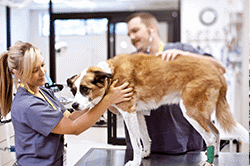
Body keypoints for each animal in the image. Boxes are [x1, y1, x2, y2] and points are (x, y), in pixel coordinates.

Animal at [66, 53, 248, 166]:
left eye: (85, 89)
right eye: (73, 91)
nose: (73, 106)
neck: (111, 75)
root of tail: (217, 72)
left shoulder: (128, 112)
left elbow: (135, 142)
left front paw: (136, 161)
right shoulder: (138, 113)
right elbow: (145, 138)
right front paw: (145, 154)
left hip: (191, 112)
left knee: (209, 136)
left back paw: (208, 161)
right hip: (201, 113)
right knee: (216, 132)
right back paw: (215, 154)